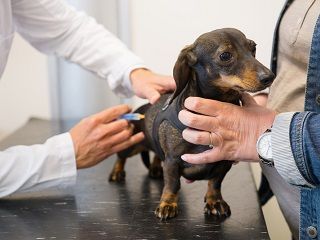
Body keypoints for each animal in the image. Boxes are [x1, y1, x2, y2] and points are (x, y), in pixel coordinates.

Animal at [108, 27, 276, 219]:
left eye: (253, 47)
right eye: (225, 55)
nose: (269, 77)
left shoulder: (223, 161)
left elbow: (215, 183)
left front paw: (214, 201)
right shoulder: (172, 161)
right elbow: (172, 184)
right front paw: (167, 204)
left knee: (157, 155)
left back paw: (155, 168)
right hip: (132, 145)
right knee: (121, 157)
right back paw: (117, 172)